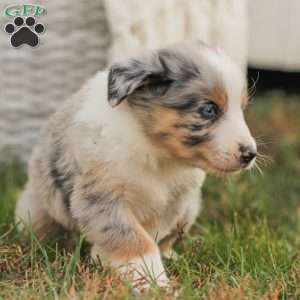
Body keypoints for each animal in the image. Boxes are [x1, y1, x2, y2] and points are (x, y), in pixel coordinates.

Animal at [15, 41, 256, 290]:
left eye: (241, 109)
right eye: (209, 109)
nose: (251, 154)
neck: (155, 152)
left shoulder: (172, 202)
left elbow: (151, 235)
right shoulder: (101, 196)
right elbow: (133, 238)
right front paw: (153, 283)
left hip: (189, 210)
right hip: (35, 213)